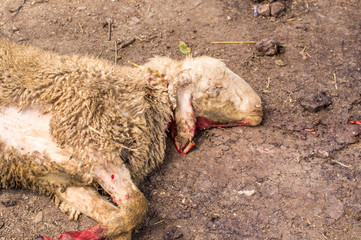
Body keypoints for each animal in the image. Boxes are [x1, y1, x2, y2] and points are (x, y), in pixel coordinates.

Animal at [1, 38, 262, 239]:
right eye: (215, 88)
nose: (260, 110)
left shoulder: (62, 176)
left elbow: (119, 213)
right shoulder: (93, 144)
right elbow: (139, 207)